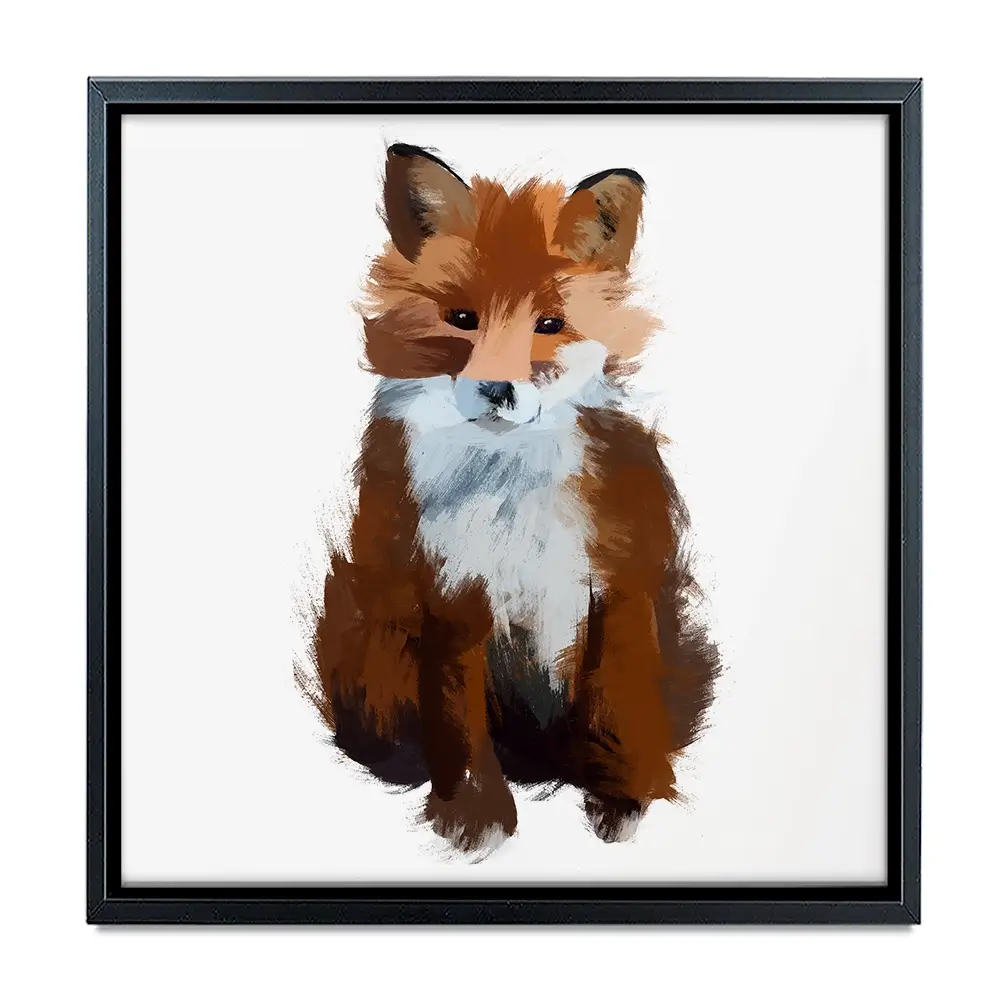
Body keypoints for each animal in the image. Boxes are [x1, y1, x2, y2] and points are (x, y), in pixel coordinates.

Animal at [303, 143, 720, 854]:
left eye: (548, 326)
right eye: (463, 320)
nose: (498, 390)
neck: (509, 497)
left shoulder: (619, 582)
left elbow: (620, 705)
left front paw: (623, 801)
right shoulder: (451, 594)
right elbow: (460, 724)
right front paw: (475, 820)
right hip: (377, 644)